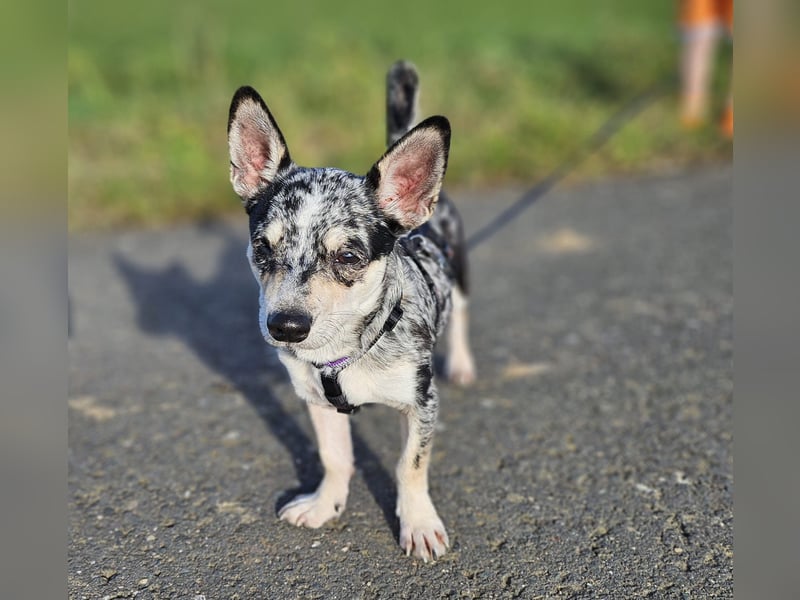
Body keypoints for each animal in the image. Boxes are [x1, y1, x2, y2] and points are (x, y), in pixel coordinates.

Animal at [225, 58, 476, 560]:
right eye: (262, 247)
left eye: (348, 256)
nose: (285, 326)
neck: (347, 350)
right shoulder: (316, 400)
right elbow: (335, 457)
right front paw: (325, 504)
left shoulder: (422, 403)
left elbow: (409, 466)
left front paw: (418, 523)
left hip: (459, 275)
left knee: (460, 315)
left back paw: (461, 363)